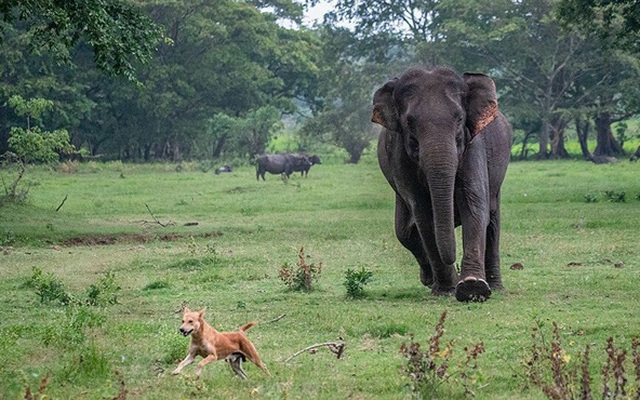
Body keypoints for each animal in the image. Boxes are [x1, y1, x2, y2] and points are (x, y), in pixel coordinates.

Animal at [372, 67, 512, 302]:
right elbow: (423, 214)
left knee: (492, 222)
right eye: (409, 122)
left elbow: (474, 207)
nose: (454, 263)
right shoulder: (400, 158)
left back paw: (496, 286)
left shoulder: (473, 145)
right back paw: (430, 280)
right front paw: (448, 289)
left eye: (460, 118)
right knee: (404, 232)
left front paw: (472, 287)